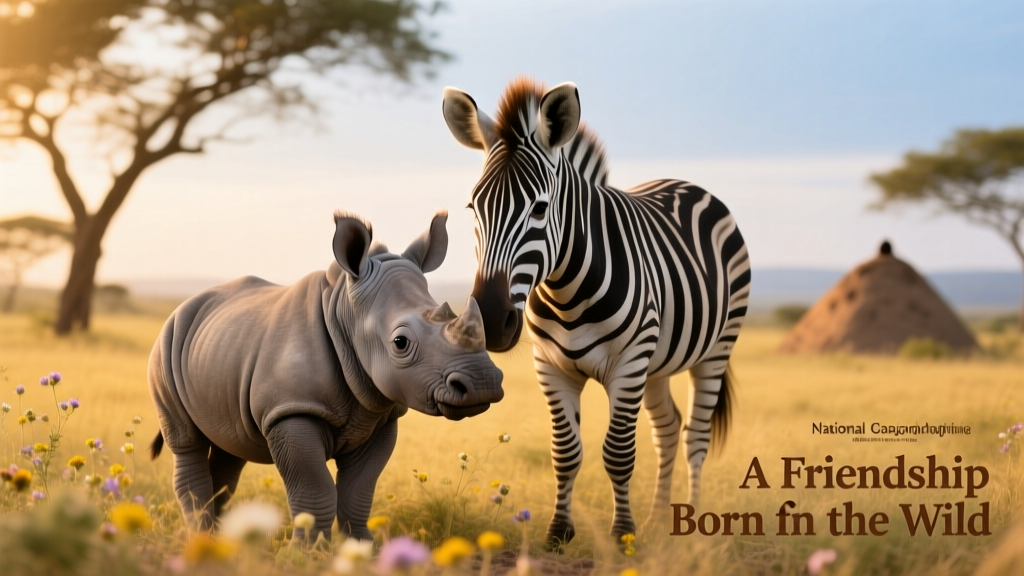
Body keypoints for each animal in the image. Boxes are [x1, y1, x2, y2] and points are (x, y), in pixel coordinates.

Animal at [148, 211, 503, 541]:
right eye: (400, 343)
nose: (483, 384)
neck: (346, 312)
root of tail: (183, 306)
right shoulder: (292, 410)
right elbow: (314, 490)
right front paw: (309, 553)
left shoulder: (380, 415)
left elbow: (358, 491)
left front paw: (362, 547)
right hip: (166, 345)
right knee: (187, 443)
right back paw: (202, 535)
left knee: (230, 449)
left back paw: (221, 538)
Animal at [441, 78, 751, 546]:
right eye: (473, 209)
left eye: (540, 208)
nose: (492, 322)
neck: (566, 292)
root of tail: (683, 183)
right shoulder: (550, 367)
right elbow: (565, 452)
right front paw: (558, 532)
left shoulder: (629, 363)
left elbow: (618, 452)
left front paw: (623, 535)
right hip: (658, 363)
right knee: (667, 427)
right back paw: (661, 519)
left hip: (716, 348)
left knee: (694, 435)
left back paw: (692, 526)